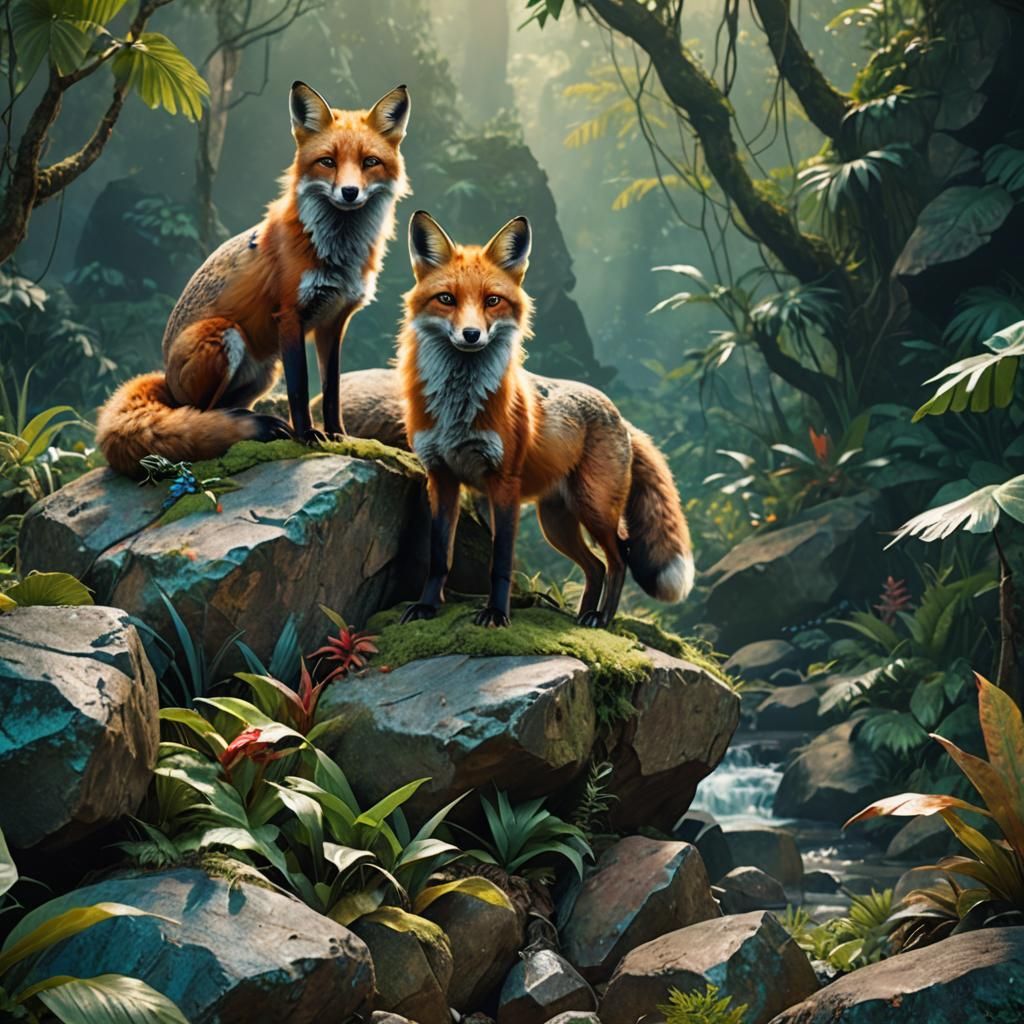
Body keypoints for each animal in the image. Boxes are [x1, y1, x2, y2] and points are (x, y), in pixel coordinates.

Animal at [96, 81, 411, 476]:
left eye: (370, 162)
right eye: (328, 162)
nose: (349, 192)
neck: (336, 252)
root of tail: (165, 379)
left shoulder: (334, 321)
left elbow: (332, 389)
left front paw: (339, 435)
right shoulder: (289, 314)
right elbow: (300, 388)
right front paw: (306, 436)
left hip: (265, 369)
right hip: (224, 335)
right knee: (199, 414)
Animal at [396, 210, 694, 628]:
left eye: (492, 301)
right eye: (446, 299)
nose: (471, 335)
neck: (460, 408)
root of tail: (619, 415)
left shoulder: (503, 483)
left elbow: (501, 562)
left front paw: (496, 613)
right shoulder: (441, 477)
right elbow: (440, 556)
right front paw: (426, 606)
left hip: (593, 508)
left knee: (620, 555)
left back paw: (603, 618)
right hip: (555, 522)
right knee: (595, 566)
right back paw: (583, 615)